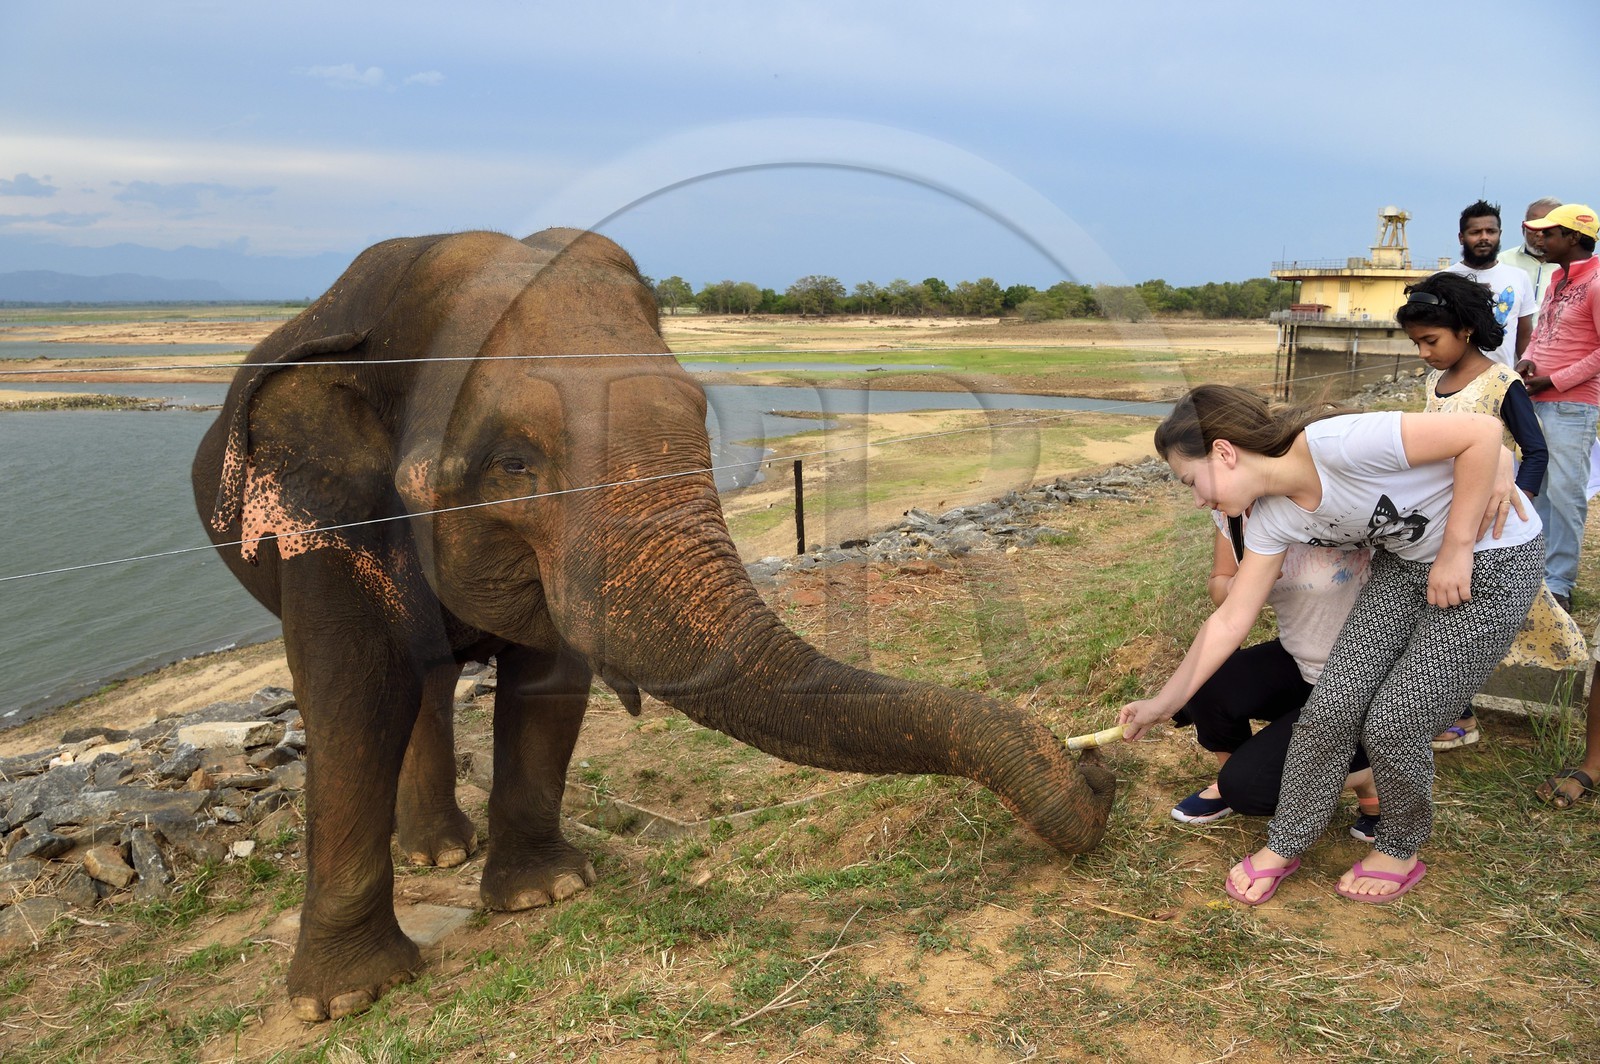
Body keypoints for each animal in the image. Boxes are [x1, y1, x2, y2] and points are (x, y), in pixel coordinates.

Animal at [191, 227, 1115, 1022]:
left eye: (700, 410)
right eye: (512, 464)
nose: (1096, 772)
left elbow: (547, 685)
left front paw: (546, 895)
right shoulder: (319, 511)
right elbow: (351, 696)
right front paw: (347, 1000)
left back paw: (442, 852)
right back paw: (434, 859)